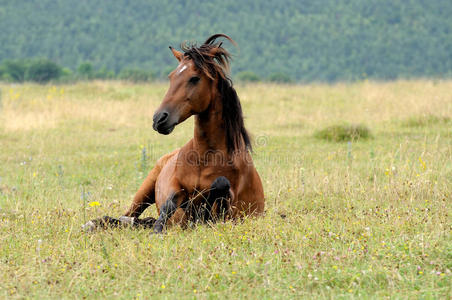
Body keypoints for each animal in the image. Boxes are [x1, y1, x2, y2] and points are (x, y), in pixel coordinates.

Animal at [83, 34, 264, 233]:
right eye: (171, 76)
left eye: (194, 78)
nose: (159, 119)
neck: (205, 157)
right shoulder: (173, 183)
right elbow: (170, 203)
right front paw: (159, 228)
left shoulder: (228, 209)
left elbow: (218, 189)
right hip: (145, 189)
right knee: (128, 215)